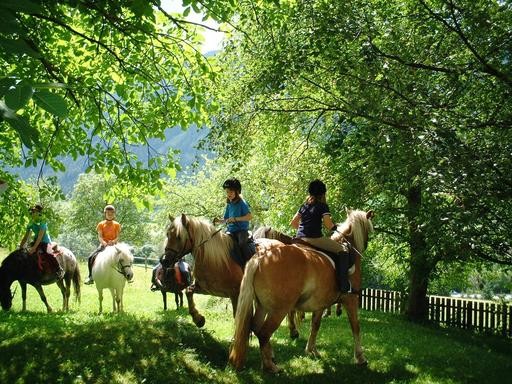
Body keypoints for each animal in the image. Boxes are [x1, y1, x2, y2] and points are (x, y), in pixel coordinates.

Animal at [230, 210, 374, 372]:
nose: (366, 245)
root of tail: (261, 256)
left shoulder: (320, 305)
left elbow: (315, 325)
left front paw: (312, 350)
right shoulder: (351, 300)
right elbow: (356, 326)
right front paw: (360, 357)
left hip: (263, 306)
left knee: (255, 327)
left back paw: (269, 359)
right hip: (278, 310)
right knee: (264, 333)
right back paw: (270, 366)